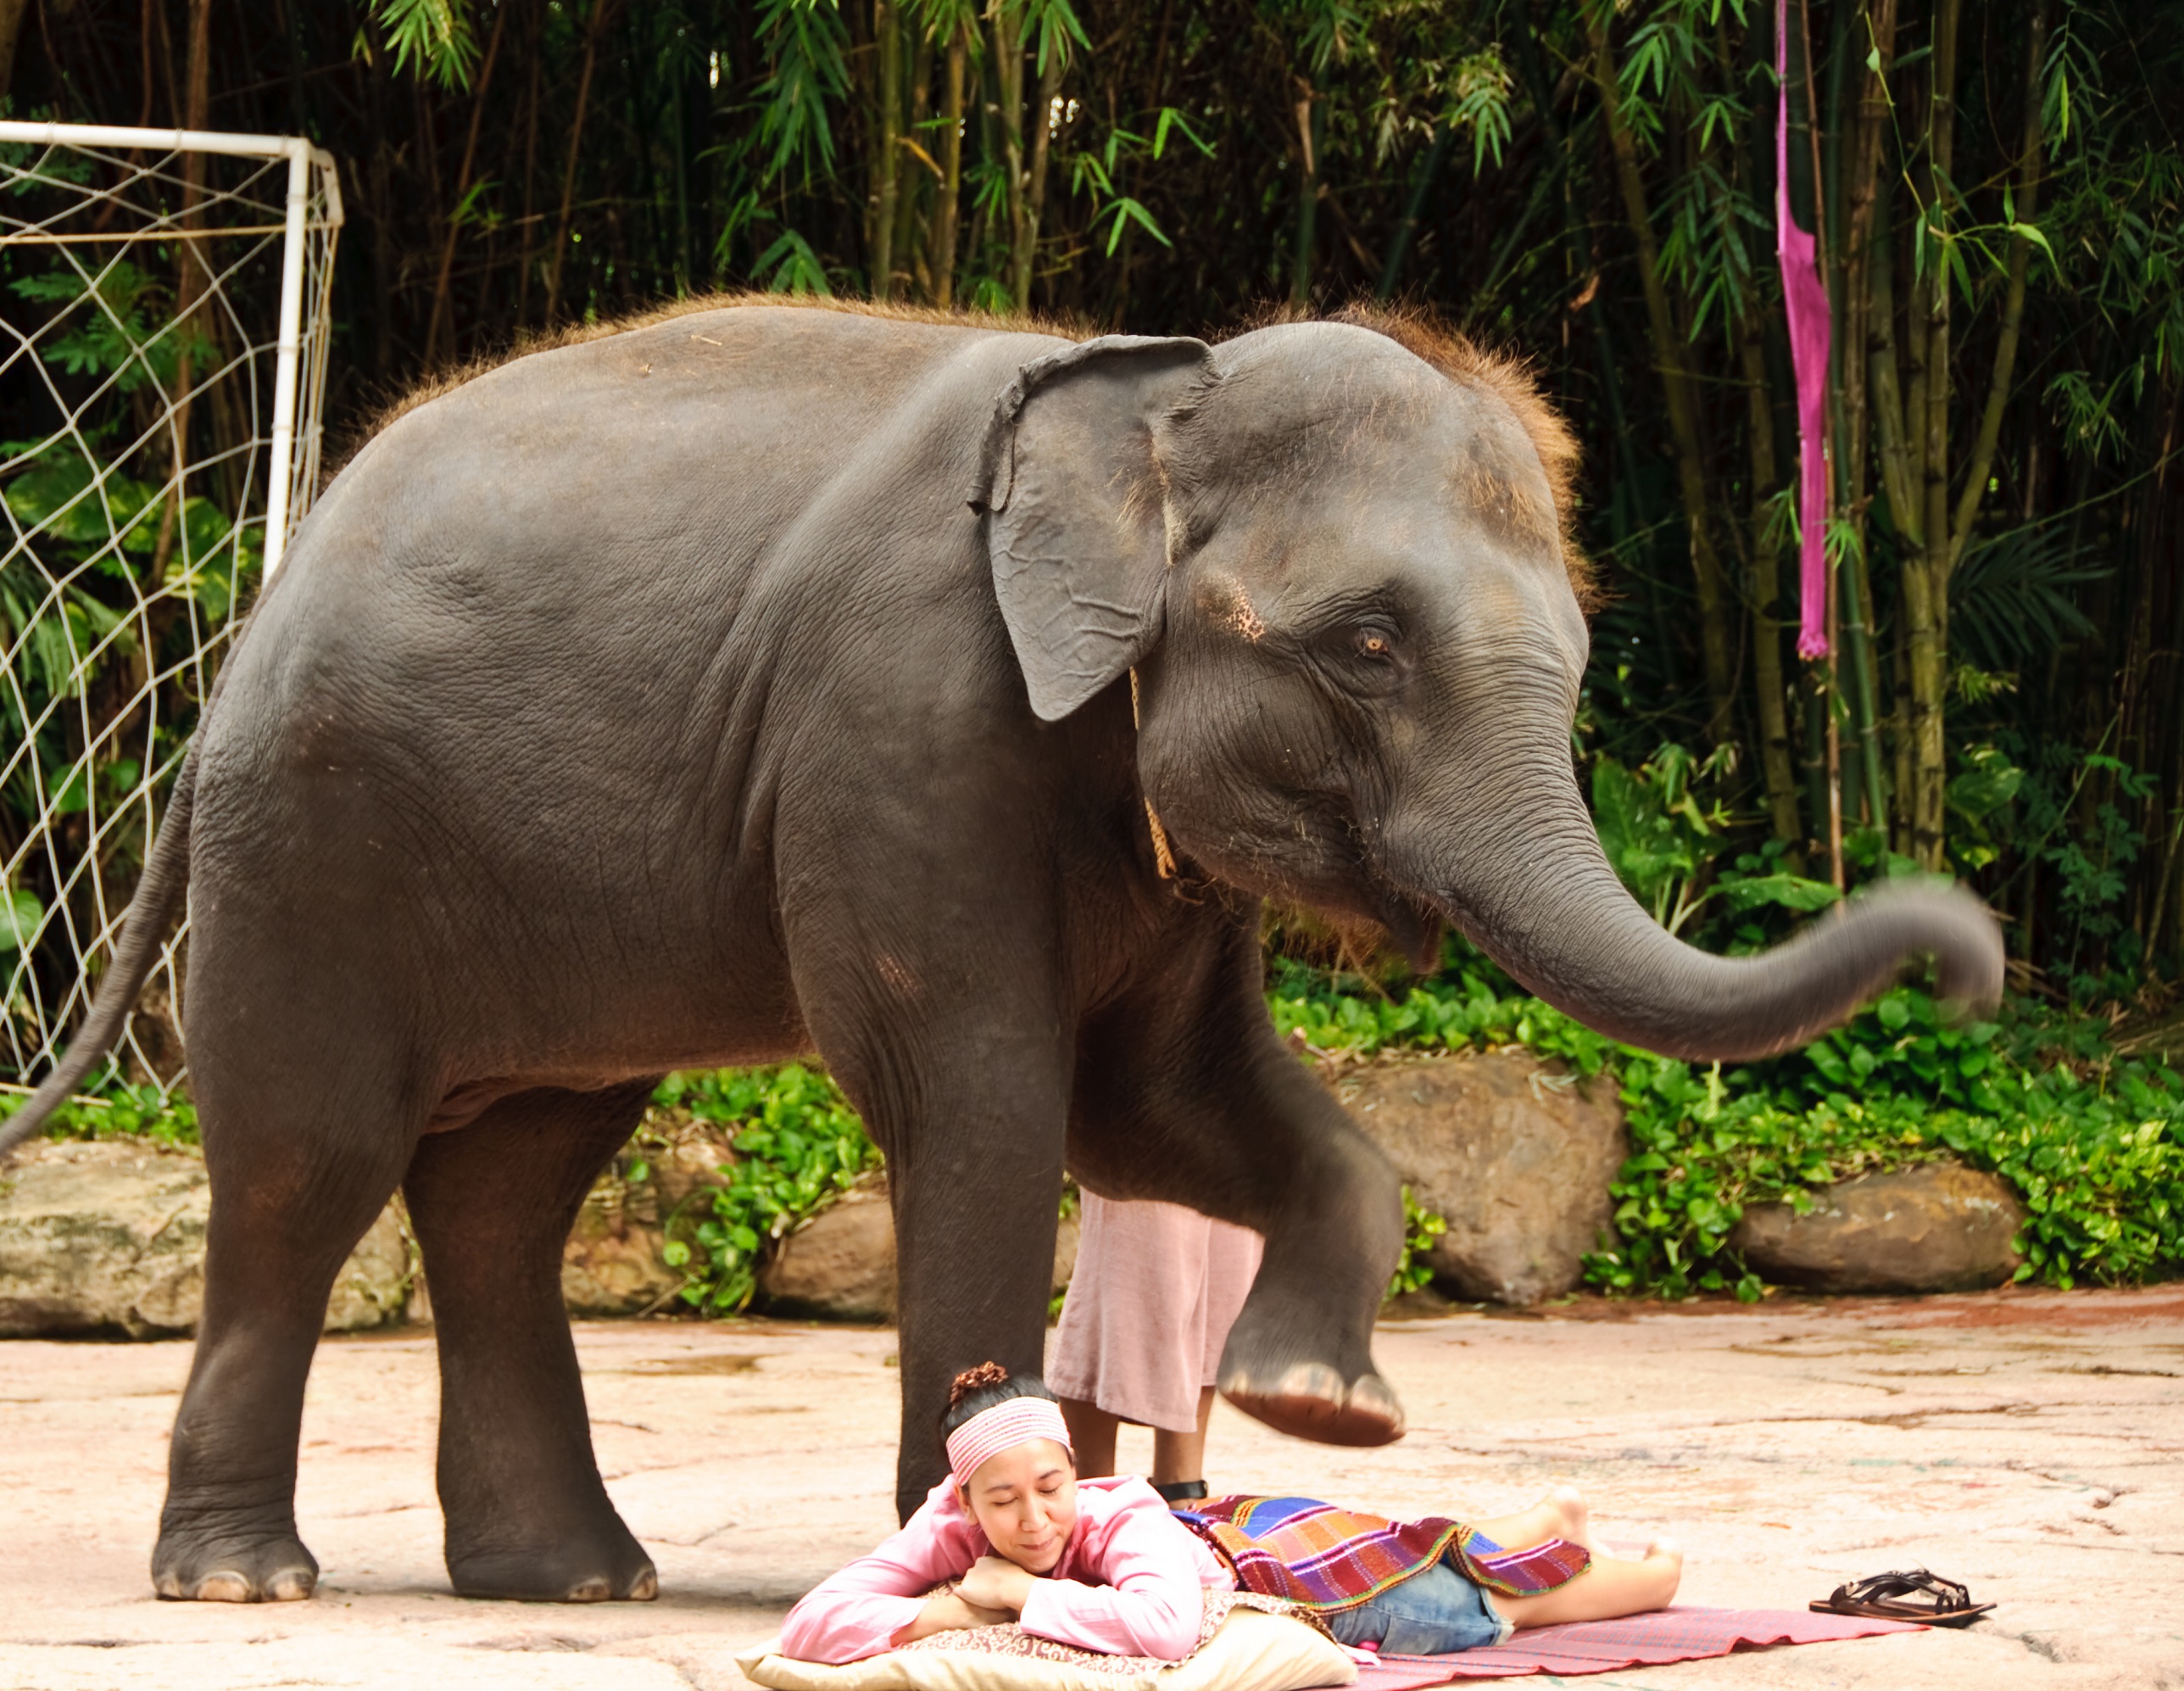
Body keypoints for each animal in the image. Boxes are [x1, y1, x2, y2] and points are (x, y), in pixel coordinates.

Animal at [0, 297, 2000, 1608]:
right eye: (1363, 647)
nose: (1972, 961)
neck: (1158, 388)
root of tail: (263, 605)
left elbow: (1164, 1106)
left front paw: (1319, 1407)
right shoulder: (904, 722)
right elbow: (980, 1095)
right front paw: (980, 1550)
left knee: (513, 1185)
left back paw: (570, 1584)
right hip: (310, 843)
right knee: (309, 1167)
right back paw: (249, 1584)